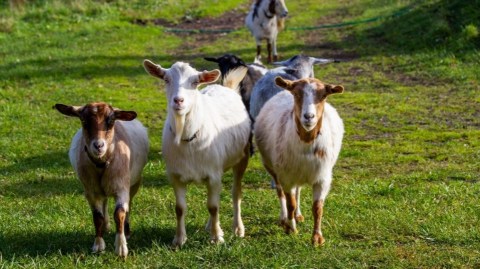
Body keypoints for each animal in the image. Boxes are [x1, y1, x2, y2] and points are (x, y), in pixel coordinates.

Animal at [54, 101, 148, 256]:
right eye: (84, 121)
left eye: (110, 122)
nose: (98, 146)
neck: (102, 164)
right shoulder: (91, 192)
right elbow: (97, 217)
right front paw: (98, 245)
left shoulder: (121, 187)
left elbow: (119, 213)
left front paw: (121, 248)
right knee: (104, 203)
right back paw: (105, 227)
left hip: (134, 183)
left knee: (129, 205)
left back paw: (127, 231)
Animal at [143, 58, 251, 247]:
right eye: (166, 79)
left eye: (194, 82)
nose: (178, 101)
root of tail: (227, 88)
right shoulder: (176, 176)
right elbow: (180, 208)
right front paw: (179, 239)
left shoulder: (213, 175)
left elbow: (213, 207)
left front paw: (216, 238)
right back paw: (211, 226)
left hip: (241, 159)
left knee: (235, 193)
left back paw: (238, 228)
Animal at [253, 75, 344, 245]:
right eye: (296, 94)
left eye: (324, 95)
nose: (309, 117)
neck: (307, 142)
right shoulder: (286, 176)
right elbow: (290, 203)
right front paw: (291, 228)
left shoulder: (323, 177)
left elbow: (317, 207)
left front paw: (317, 238)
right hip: (272, 166)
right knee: (281, 192)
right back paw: (285, 219)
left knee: (298, 190)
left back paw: (298, 215)